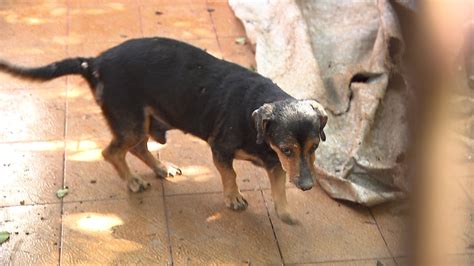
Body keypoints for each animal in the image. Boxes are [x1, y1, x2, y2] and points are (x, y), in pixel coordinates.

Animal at [0, 38, 326, 224]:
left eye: (314, 148)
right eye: (287, 149)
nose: (308, 186)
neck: (254, 107)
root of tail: (94, 63)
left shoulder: (276, 164)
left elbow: (279, 188)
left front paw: (285, 212)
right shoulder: (221, 149)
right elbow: (231, 174)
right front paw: (233, 198)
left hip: (143, 120)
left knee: (138, 148)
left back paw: (160, 168)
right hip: (130, 121)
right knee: (112, 151)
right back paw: (132, 181)